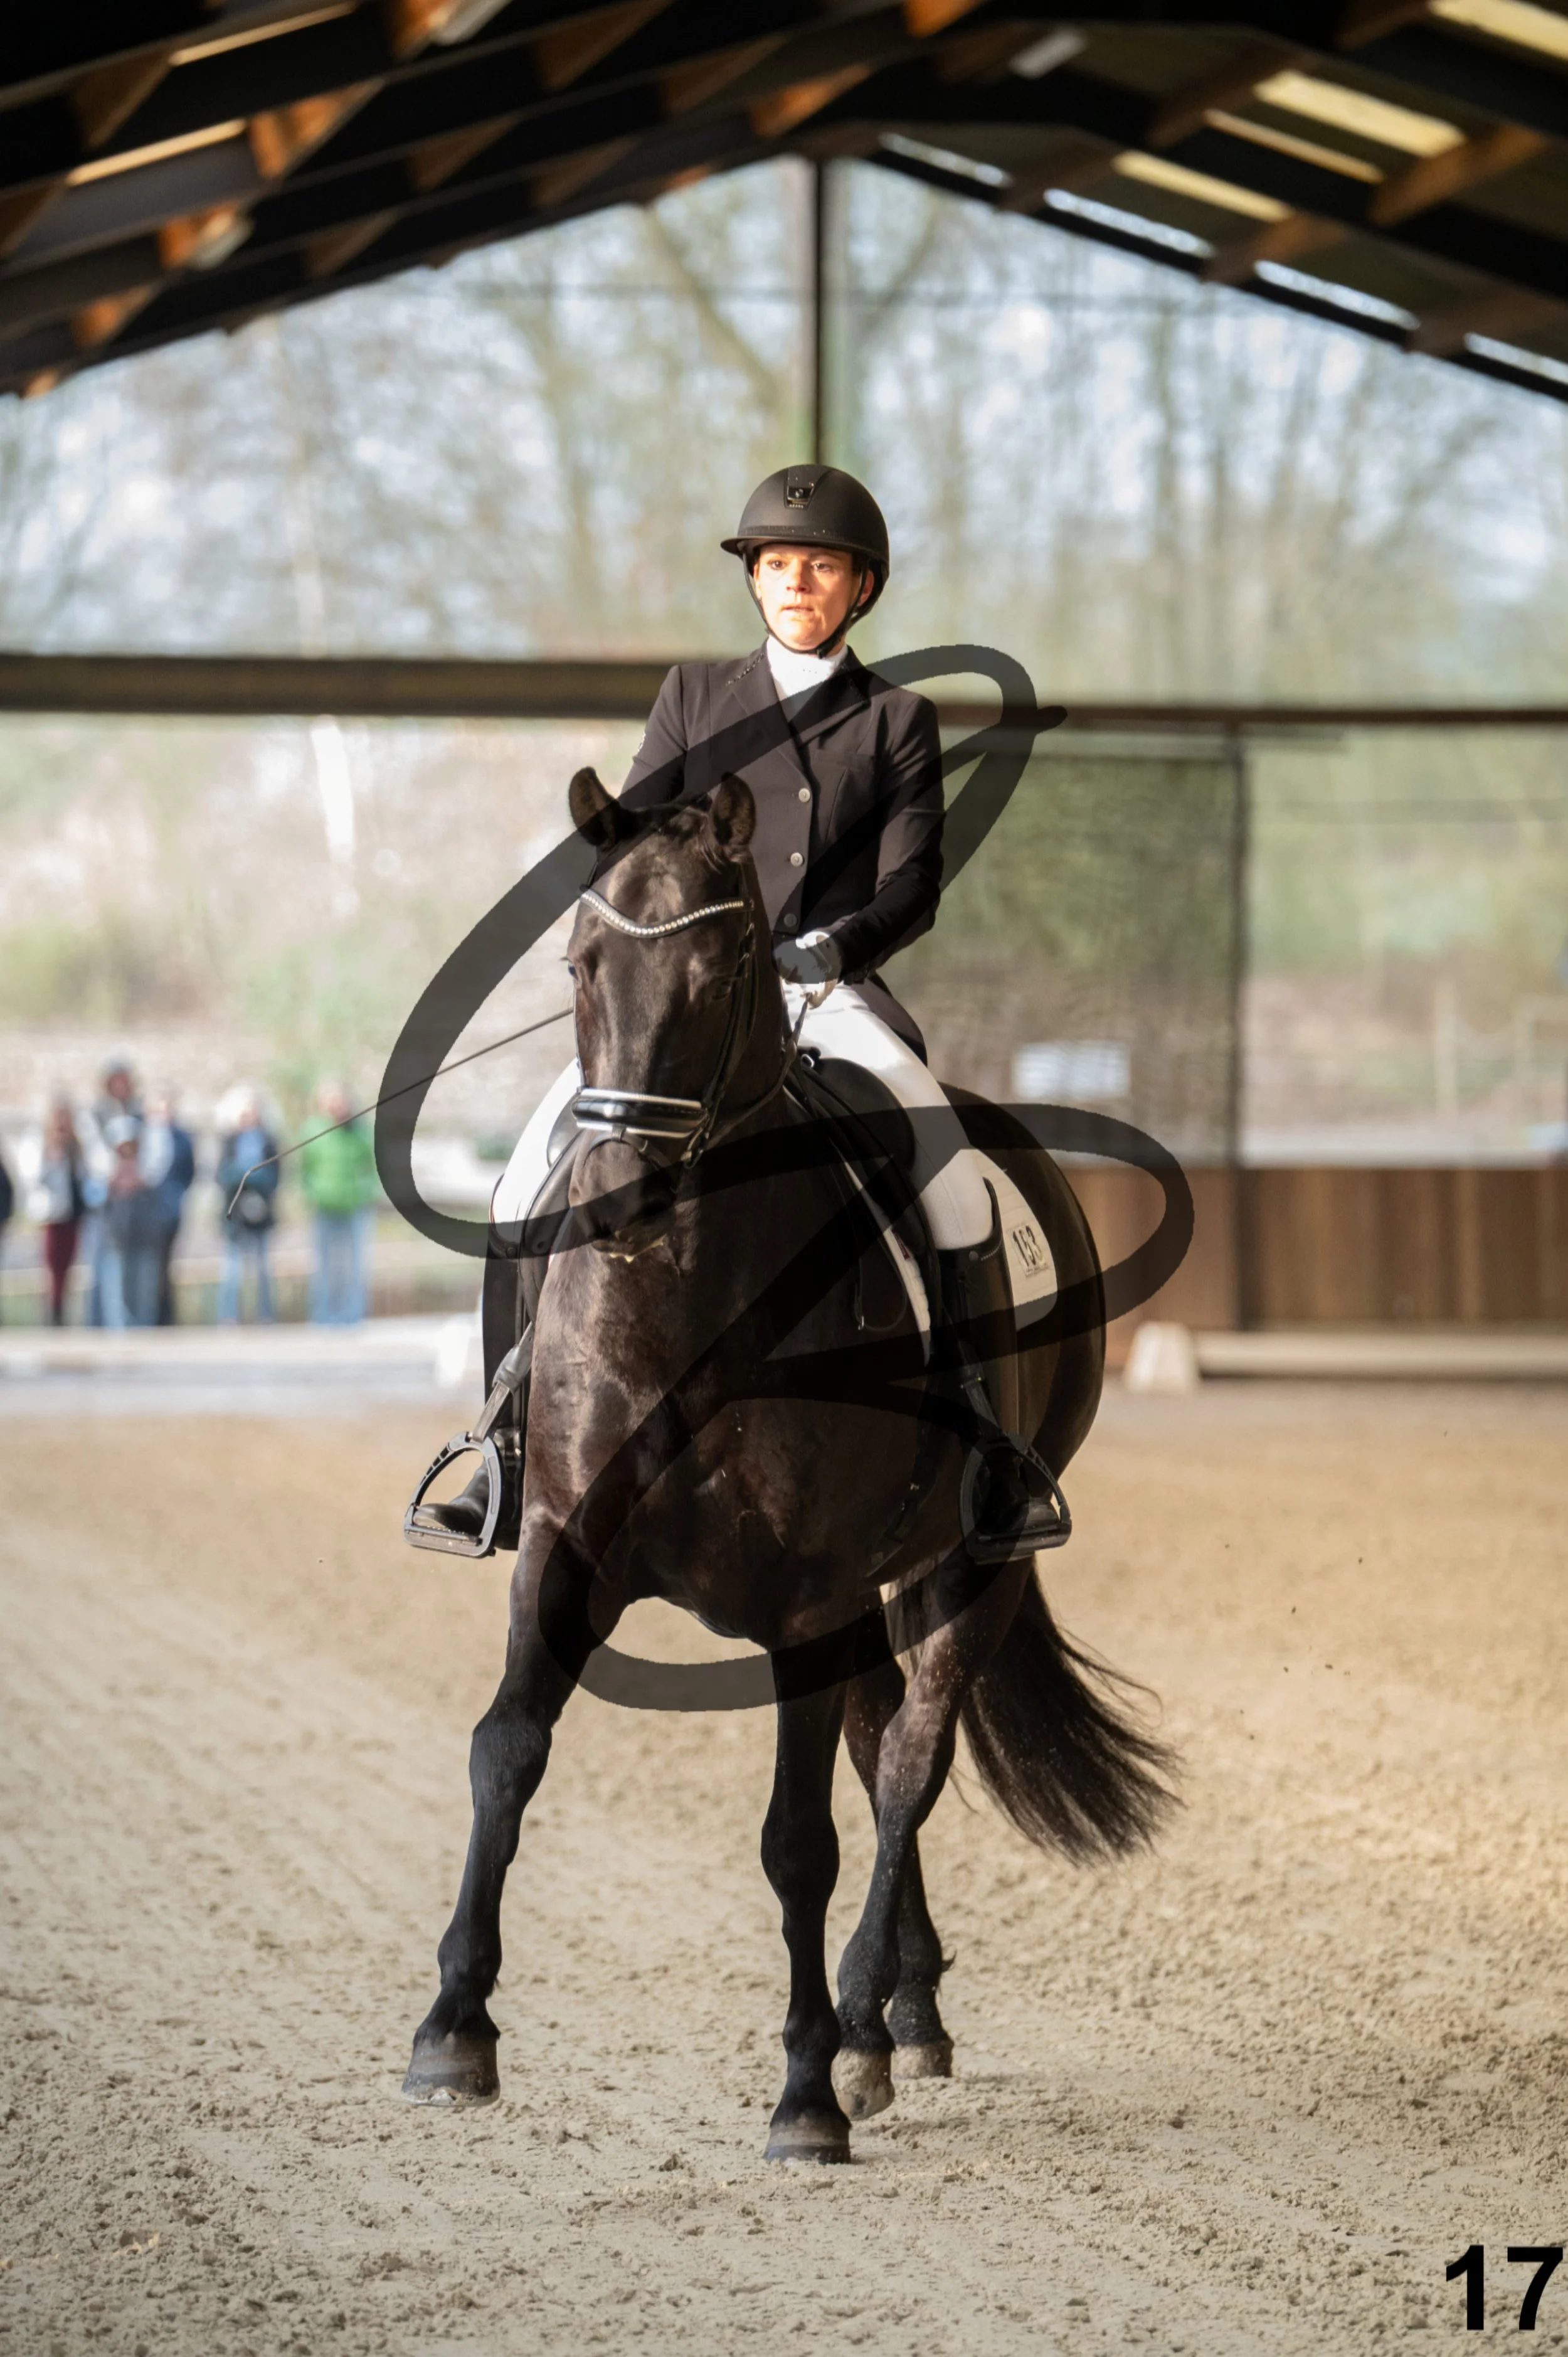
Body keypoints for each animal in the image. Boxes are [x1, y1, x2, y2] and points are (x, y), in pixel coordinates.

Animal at [402, 766, 1175, 2162]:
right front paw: (452, 2030)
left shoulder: (807, 1602)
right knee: (882, 1748)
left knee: (910, 1757)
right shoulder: (561, 1552)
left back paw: (868, 2023)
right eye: (580, 962)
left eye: (724, 970)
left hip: (965, 1566)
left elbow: (797, 1841)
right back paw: (909, 2012)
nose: (618, 1197)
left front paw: (808, 2090)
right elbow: (505, 1750)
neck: (686, 1290)